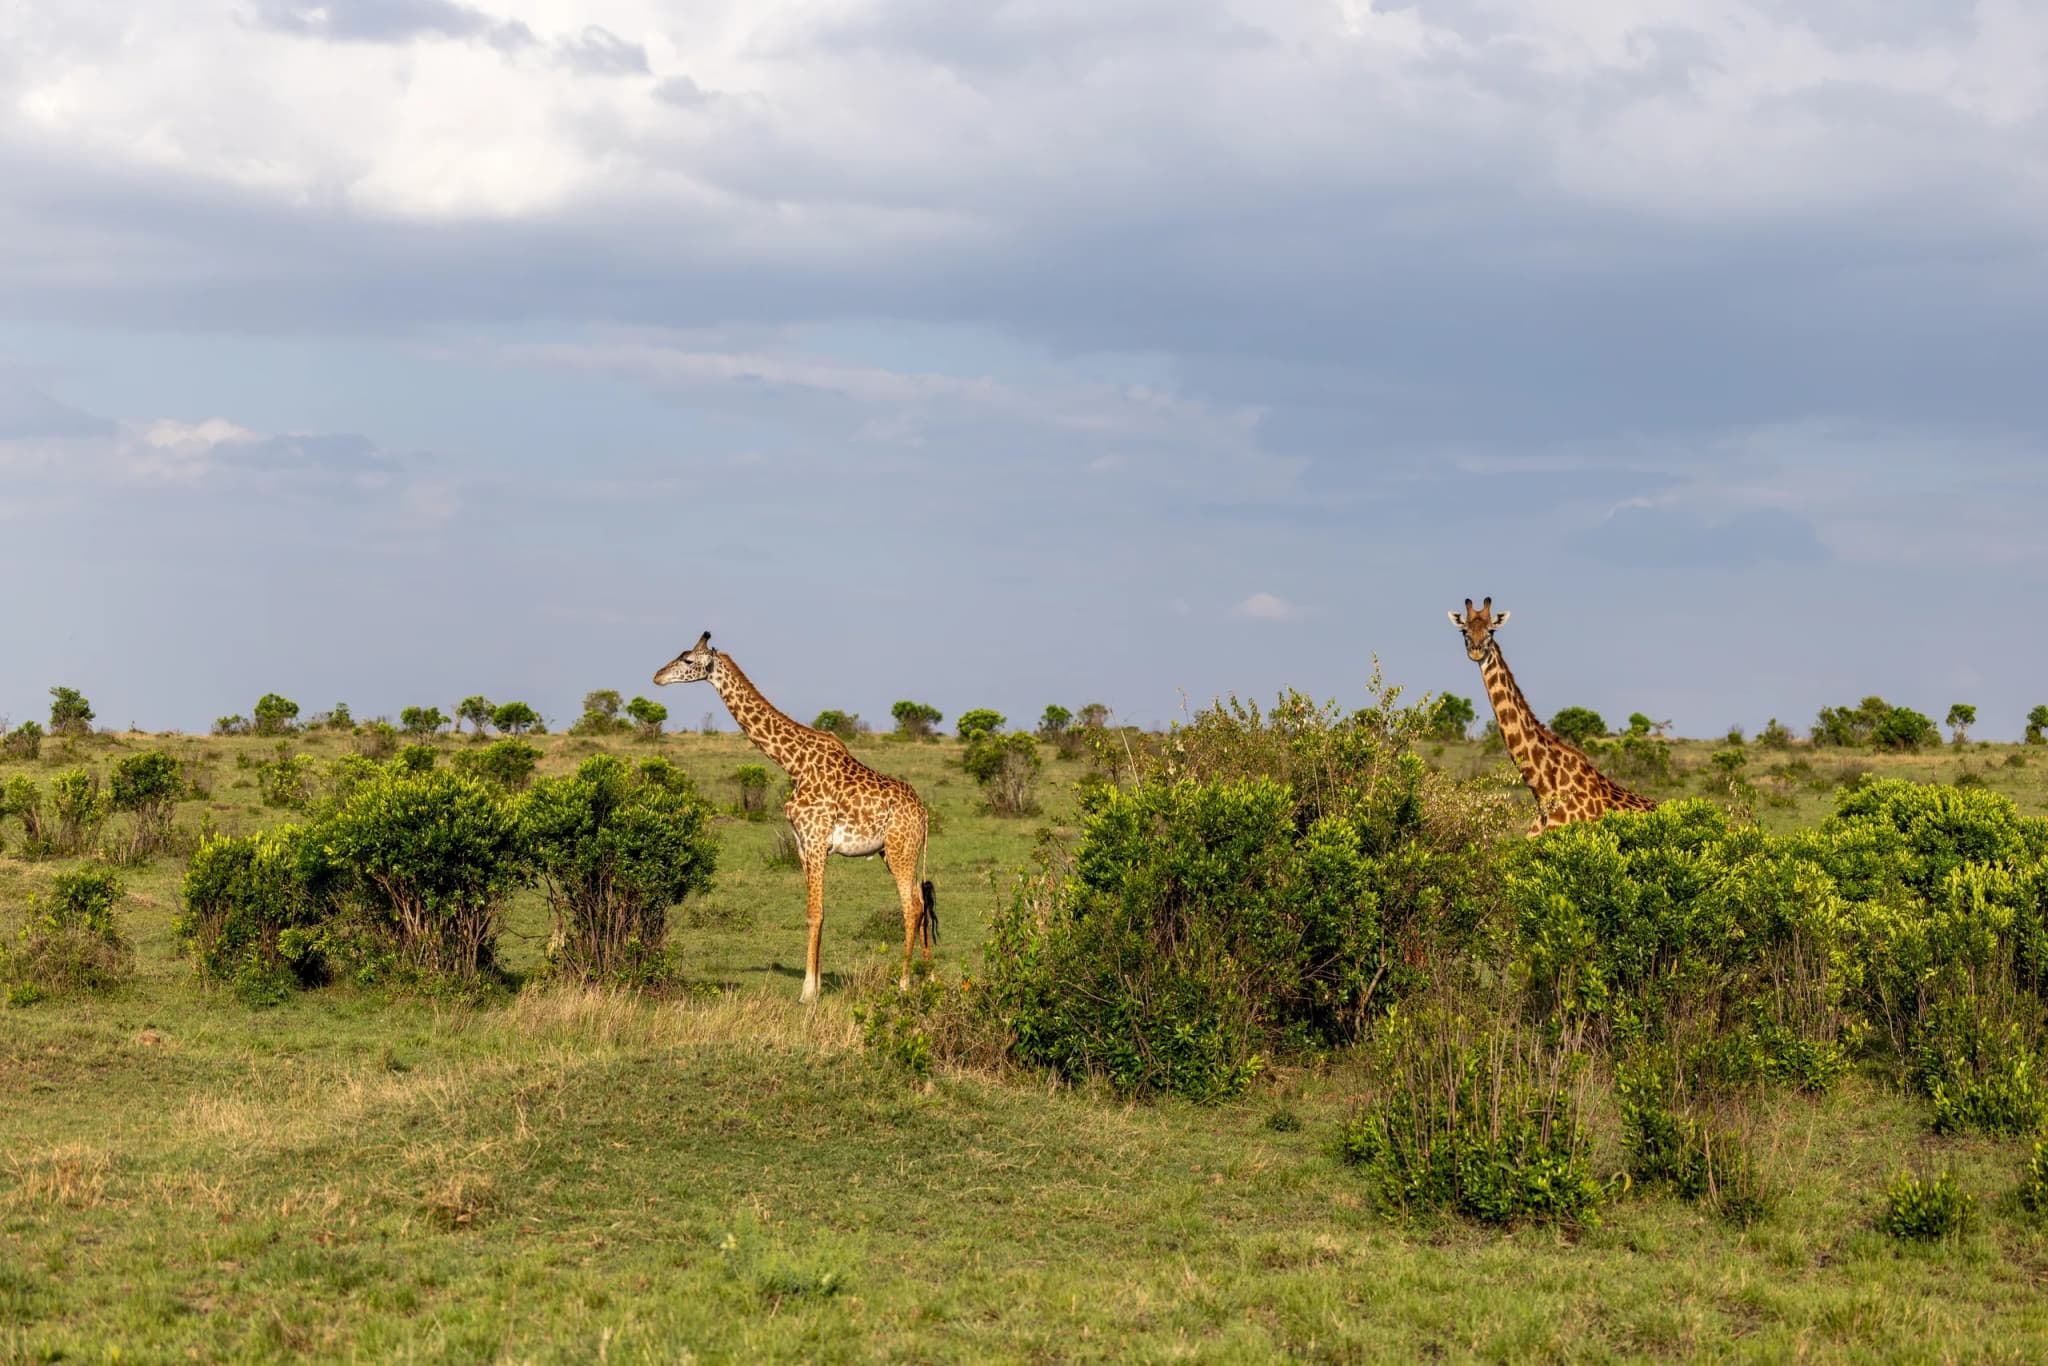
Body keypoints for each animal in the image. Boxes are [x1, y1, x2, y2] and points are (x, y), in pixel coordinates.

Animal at [653, 632, 936, 1001]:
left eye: (688, 660)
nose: (657, 676)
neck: (794, 764)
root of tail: (924, 813)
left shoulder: (816, 841)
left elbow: (815, 913)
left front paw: (807, 992)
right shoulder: (803, 845)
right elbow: (814, 913)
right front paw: (815, 984)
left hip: (901, 850)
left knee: (912, 906)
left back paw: (903, 984)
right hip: (897, 852)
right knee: (923, 901)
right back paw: (929, 979)